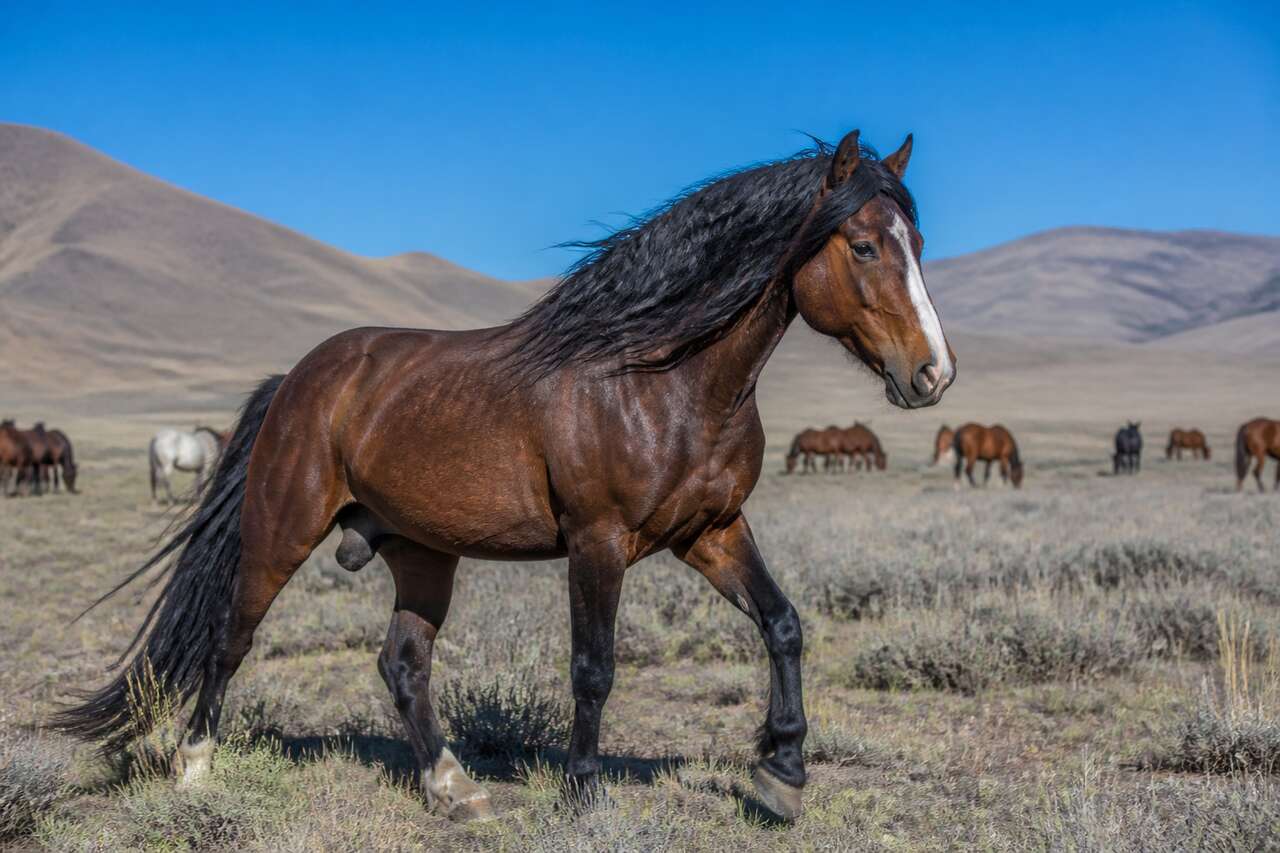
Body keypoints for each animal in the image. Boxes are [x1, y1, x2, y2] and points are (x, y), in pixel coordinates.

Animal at [55, 130, 955, 823]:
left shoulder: (711, 531)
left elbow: (783, 624)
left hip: (422, 552)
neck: (661, 378)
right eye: (863, 245)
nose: (933, 374)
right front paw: (585, 794)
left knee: (403, 663)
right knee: (229, 640)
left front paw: (782, 774)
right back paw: (195, 768)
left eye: (917, 246)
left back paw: (453, 788)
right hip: (280, 532)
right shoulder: (599, 542)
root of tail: (300, 380)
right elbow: (594, 666)